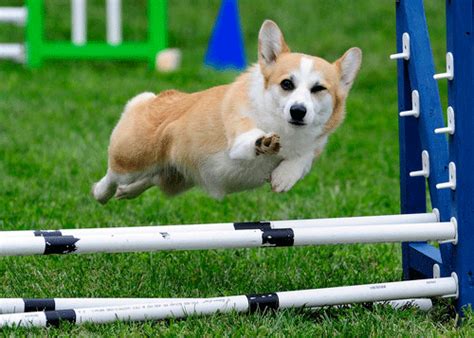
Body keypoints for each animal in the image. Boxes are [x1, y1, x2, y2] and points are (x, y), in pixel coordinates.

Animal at [91, 20, 360, 203]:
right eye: (287, 84)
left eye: (318, 89)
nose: (298, 111)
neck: (284, 128)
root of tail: (157, 98)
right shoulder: (239, 135)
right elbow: (250, 139)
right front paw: (263, 142)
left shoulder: (315, 146)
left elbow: (302, 159)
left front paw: (284, 177)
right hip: (132, 158)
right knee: (113, 175)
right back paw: (101, 193)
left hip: (176, 178)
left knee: (150, 179)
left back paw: (126, 193)